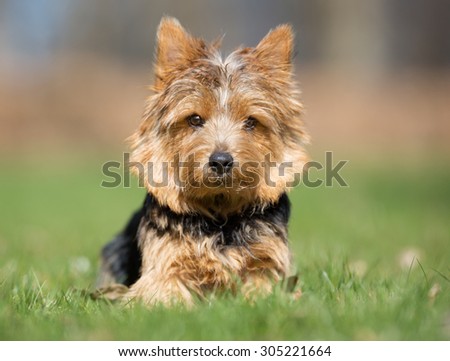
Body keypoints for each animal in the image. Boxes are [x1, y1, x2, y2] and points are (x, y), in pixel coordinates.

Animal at [96, 16, 308, 306]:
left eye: (251, 122)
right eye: (195, 119)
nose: (221, 161)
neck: (221, 215)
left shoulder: (267, 263)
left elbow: (264, 289)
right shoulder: (162, 269)